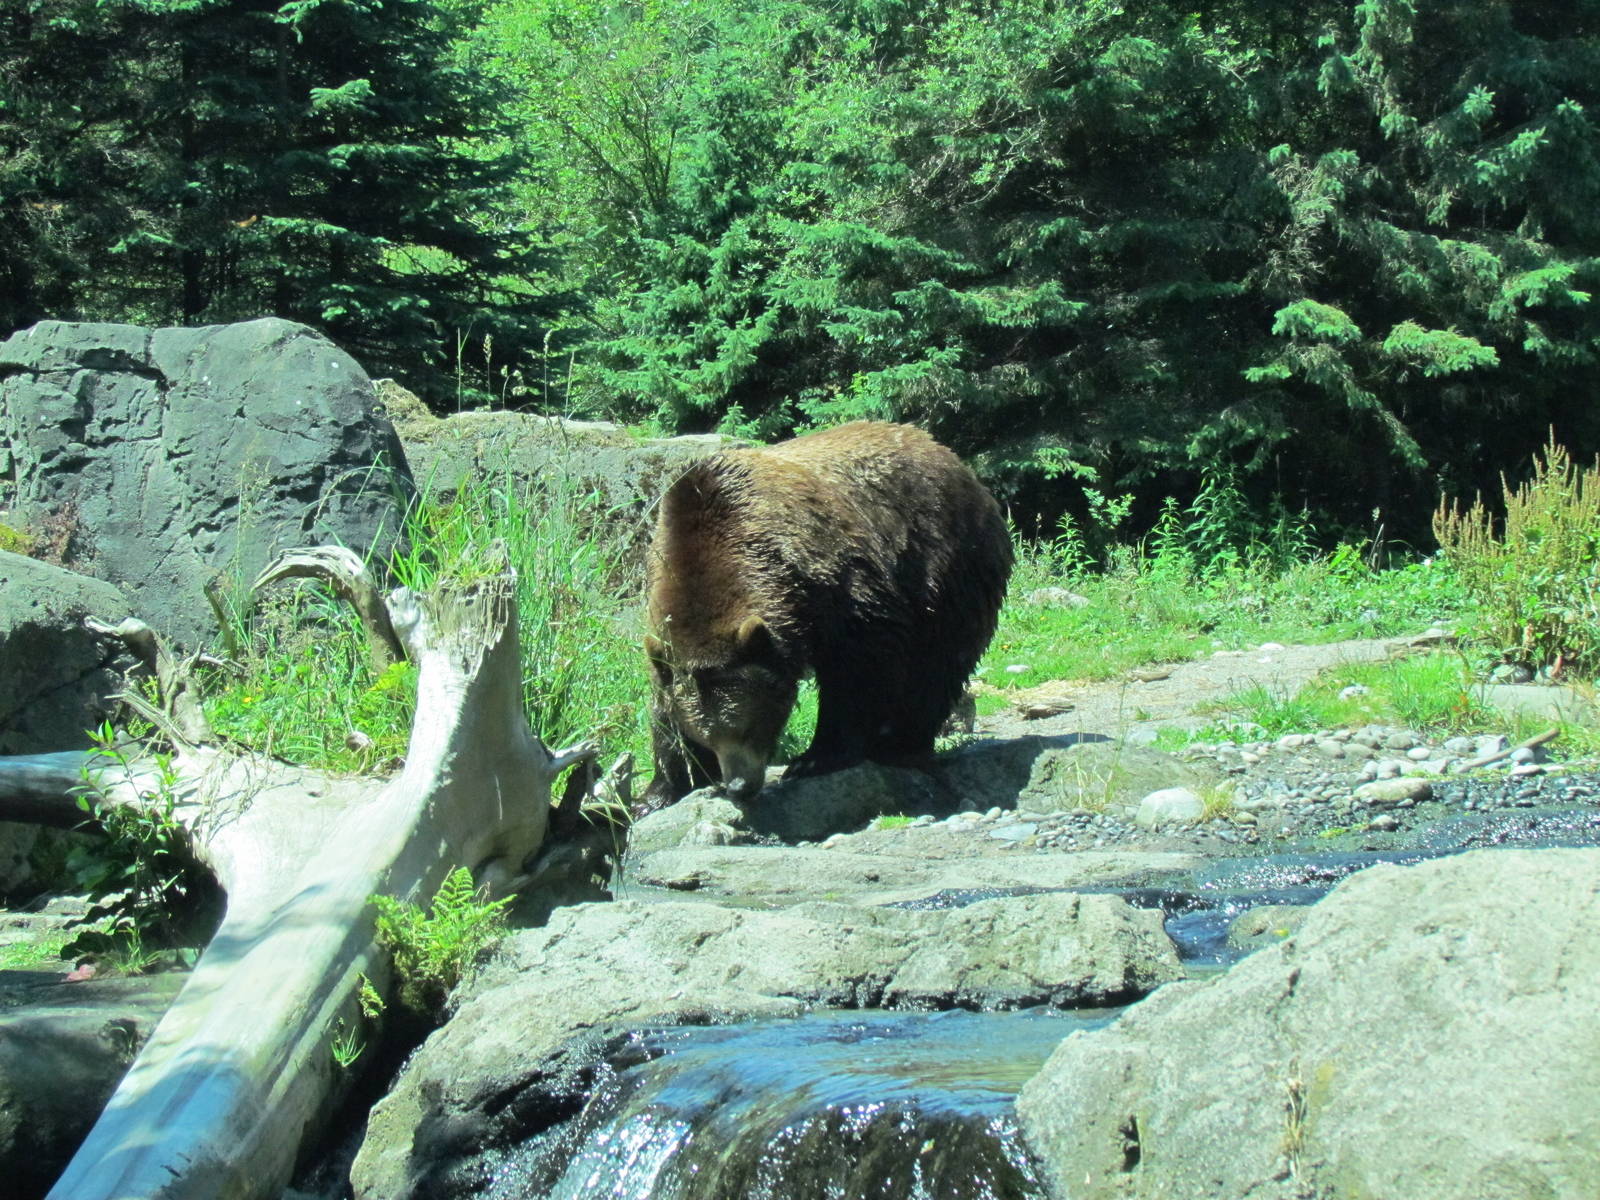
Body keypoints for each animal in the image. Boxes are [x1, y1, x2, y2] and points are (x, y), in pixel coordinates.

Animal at [639, 420, 1013, 812]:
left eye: (749, 728)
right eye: (706, 737)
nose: (740, 785)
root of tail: (955, 460)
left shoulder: (838, 584)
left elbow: (858, 668)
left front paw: (816, 758)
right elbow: (663, 705)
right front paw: (658, 792)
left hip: (949, 565)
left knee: (937, 664)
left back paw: (901, 745)